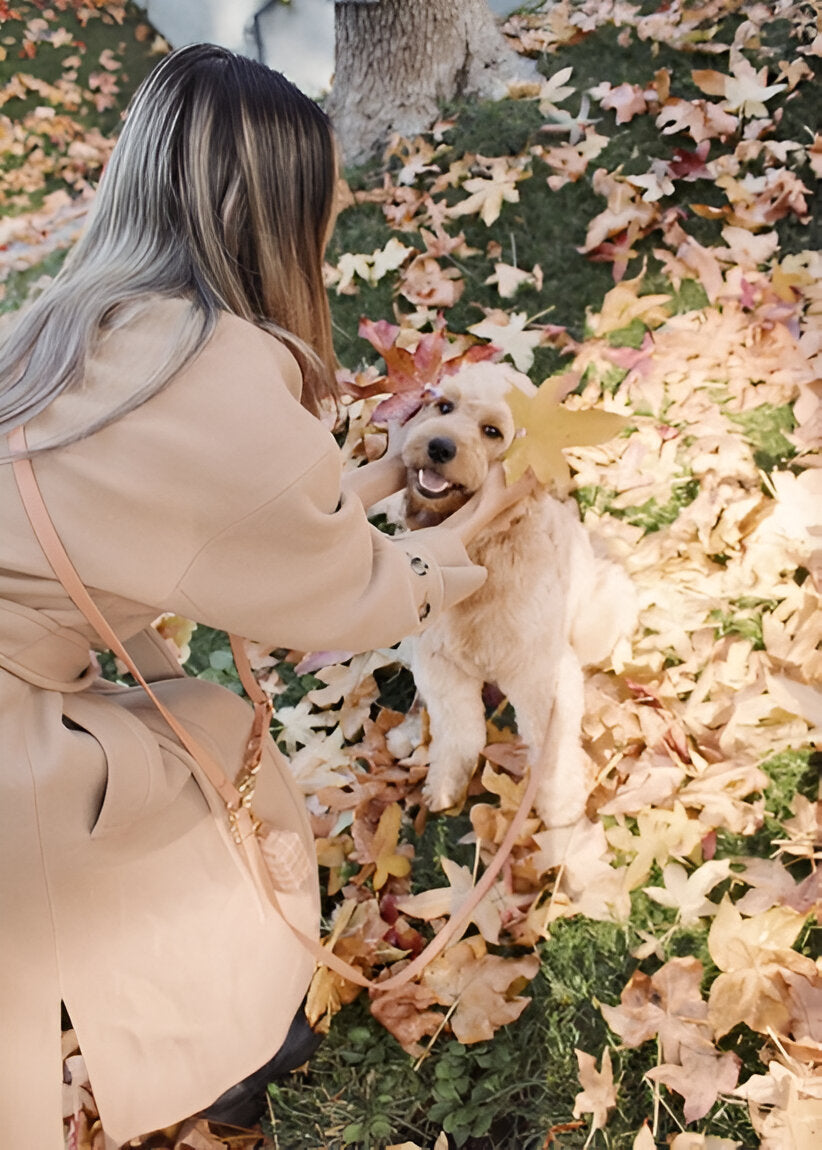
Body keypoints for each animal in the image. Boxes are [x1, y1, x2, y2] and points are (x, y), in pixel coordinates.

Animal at [404, 358, 634, 828]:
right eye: (444, 406)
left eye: (492, 431)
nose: (438, 446)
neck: (481, 550)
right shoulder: (439, 665)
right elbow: (459, 731)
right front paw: (446, 783)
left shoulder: (542, 675)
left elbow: (553, 750)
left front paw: (561, 809)